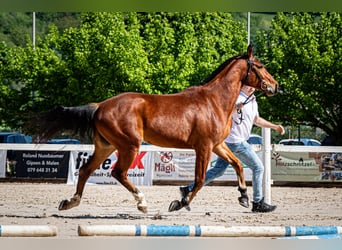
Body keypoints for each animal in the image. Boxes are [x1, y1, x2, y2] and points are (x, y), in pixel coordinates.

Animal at [28, 45, 278, 213]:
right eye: (261, 66)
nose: (275, 86)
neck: (213, 101)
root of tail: (100, 106)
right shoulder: (204, 146)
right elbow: (199, 179)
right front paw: (180, 202)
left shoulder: (218, 145)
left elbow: (237, 165)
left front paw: (244, 197)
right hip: (129, 145)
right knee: (118, 173)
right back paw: (142, 202)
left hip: (106, 147)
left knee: (86, 170)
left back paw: (71, 202)